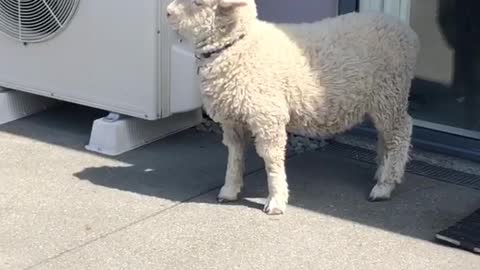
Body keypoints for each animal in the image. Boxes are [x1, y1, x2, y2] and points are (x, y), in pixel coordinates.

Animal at [166, 0, 420, 215]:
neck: (240, 45)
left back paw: (385, 184)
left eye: (198, 3)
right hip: (383, 98)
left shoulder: (268, 115)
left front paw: (276, 200)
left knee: (400, 133)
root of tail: (405, 31)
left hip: (390, 91)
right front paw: (229, 189)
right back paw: (381, 171)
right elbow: (234, 155)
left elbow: (271, 159)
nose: (167, 12)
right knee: (387, 135)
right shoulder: (233, 118)